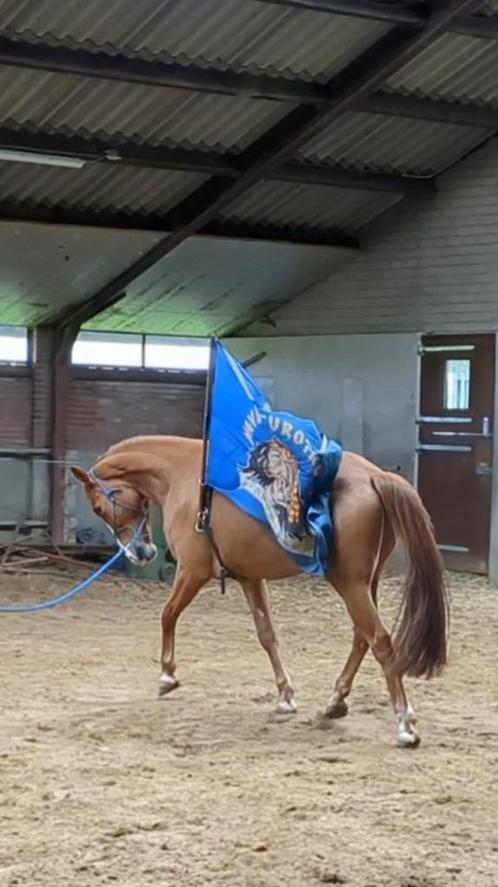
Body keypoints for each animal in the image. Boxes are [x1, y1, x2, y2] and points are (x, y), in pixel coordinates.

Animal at [72, 434, 450, 744]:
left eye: (98, 506)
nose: (139, 553)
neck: (184, 477)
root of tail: (375, 476)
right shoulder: (250, 579)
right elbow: (267, 635)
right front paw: (285, 696)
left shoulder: (192, 572)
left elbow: (167, 615)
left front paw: (167, 675)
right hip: (364, 584)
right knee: (362, 638)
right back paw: (336, 702)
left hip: (351, 585)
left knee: (380, 641)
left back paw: (404, 723)